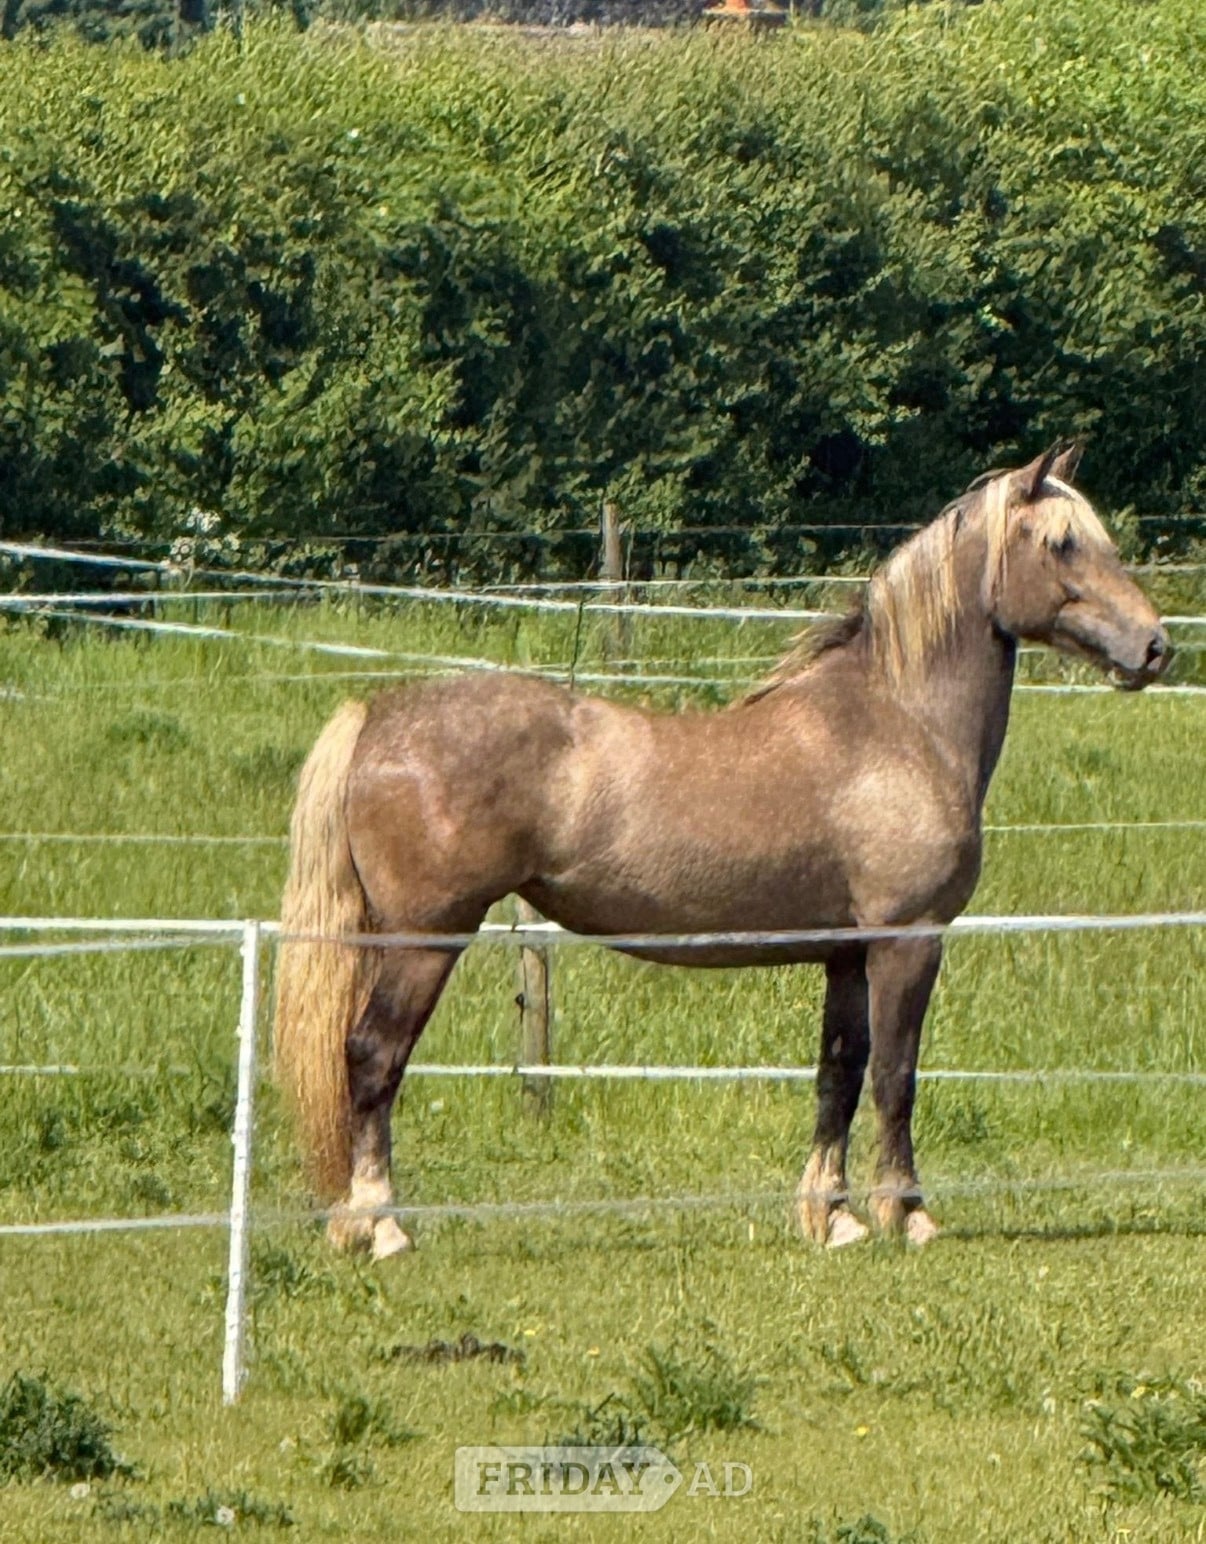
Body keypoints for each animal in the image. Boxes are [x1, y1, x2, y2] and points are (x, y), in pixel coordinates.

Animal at [273, 442, 1169, 1257]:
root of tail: (376, 717)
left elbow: (839, 1074)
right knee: (373, 1059)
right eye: (1062, 543)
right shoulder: (906, 942)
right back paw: (382, 1227)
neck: (895, 724)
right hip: (424, 940)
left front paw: (832, 1217)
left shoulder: (846, 952)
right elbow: (896, 1077)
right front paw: (907, 1215)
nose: (1157, 647)